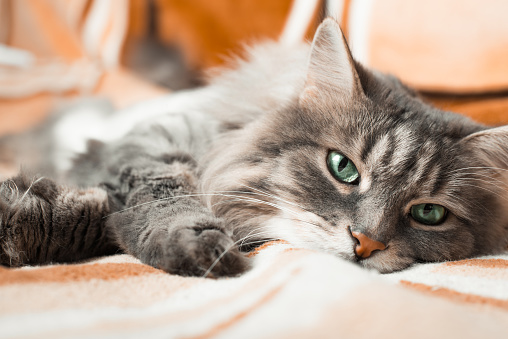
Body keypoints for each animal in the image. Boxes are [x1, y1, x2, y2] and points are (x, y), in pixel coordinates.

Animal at [0, 19, 508, 276]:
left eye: (429, 213)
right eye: (342, 167)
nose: (365, 243)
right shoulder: (146, 147)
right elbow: (160, 197)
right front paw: (195, 245)